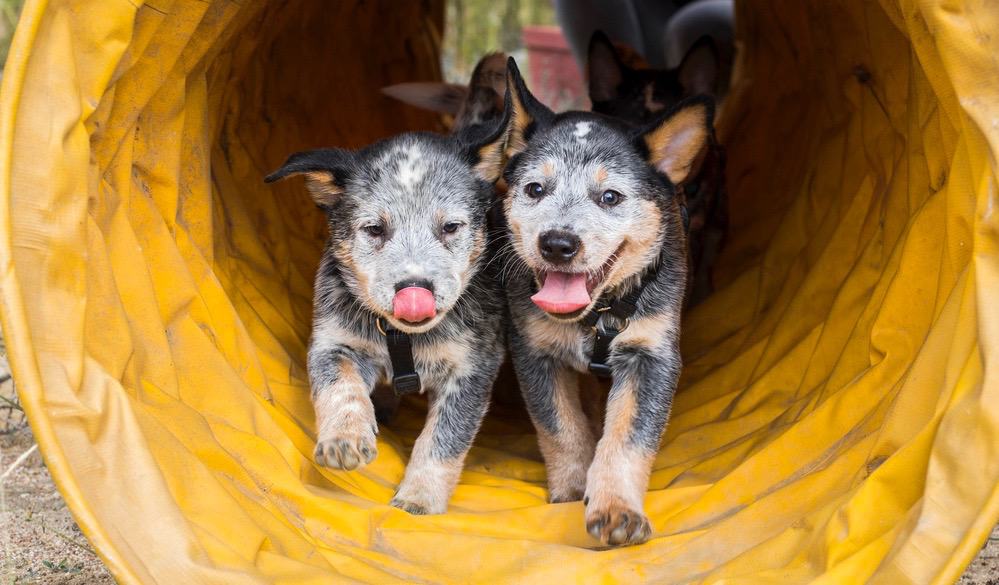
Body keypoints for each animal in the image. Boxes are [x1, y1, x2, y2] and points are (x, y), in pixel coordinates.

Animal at [266, 123, 508, 516]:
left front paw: (418, 500)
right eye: (375, 229)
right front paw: (345, 439)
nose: (414, 290)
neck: (401, 337)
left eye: (450, 227)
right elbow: (340, 387)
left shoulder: (474, 366)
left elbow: (443, 439)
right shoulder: (334, 341)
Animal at [484, 58, 712, 544]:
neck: (598, 317)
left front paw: (615, 509)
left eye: (610, 197)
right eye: (535, 189)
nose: (557, 243)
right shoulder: (533, 351)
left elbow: (627, 436)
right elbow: (560, 427)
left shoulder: (652, 354)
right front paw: (571, 491)